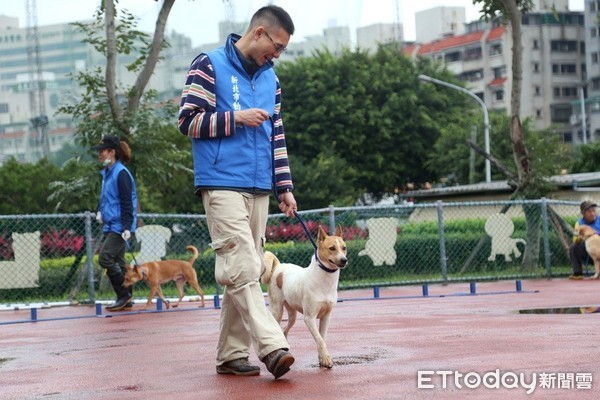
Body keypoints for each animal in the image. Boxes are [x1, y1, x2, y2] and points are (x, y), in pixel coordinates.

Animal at [262, 225, 346, 368]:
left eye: (344, 248)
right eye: (332, 248)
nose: (344, 260)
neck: (324, 281)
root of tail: (279, 266)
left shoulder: (326, 317)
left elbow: (322, 338)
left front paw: (322, 358)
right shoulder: (309, 318)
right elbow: (319, 339)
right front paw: (326, 359)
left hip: (292, 315)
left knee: (285, 330)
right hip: (277, 310)